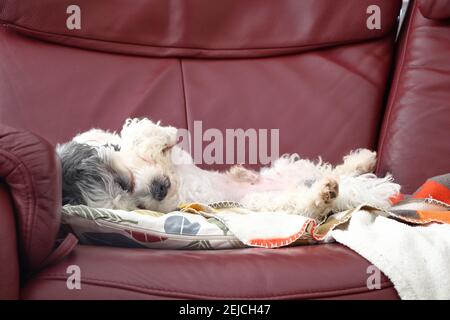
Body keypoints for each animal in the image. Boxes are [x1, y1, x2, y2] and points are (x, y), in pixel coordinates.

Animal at [57, 117, 400, 220]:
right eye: (135, 205)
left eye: (124, 181)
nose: (159, 190)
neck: (176, 178)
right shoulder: (171, 203)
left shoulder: (178, 158)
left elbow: (143, 134)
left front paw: (158, 140)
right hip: (271, 202)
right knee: (313, 203)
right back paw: (323, 192)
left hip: (288, 166)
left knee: (338, 169)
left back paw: (362, 160)